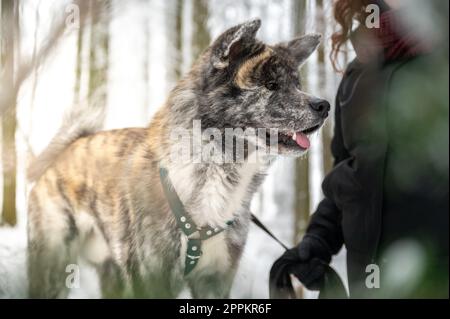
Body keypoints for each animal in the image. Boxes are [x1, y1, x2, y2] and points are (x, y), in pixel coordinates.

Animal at [29, 19, 330, 300]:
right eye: (271, 85)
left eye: (297, 85)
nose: (324, 105)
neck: (215, 167)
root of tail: (65, 150)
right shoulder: (151, 279)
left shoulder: (215, 280)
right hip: (54, 266)